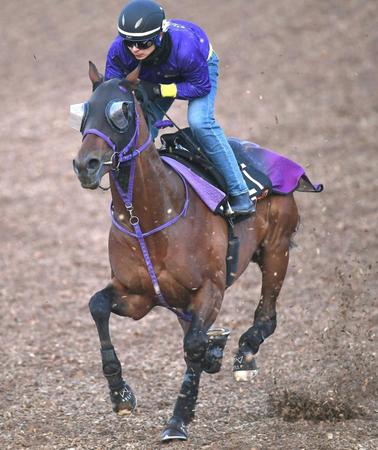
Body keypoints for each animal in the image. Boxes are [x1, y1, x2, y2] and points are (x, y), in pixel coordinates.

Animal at [72, 61, 300, 442]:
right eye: (85, 111)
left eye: (122, 112)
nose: (85, 164)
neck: (149, 218)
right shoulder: (137, 295)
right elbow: (98, 306)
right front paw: (120, 394)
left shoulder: (210, 289)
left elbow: (193, 345)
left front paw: (178, 419)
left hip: (276, 249)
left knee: (266, 315)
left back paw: (245, 353)